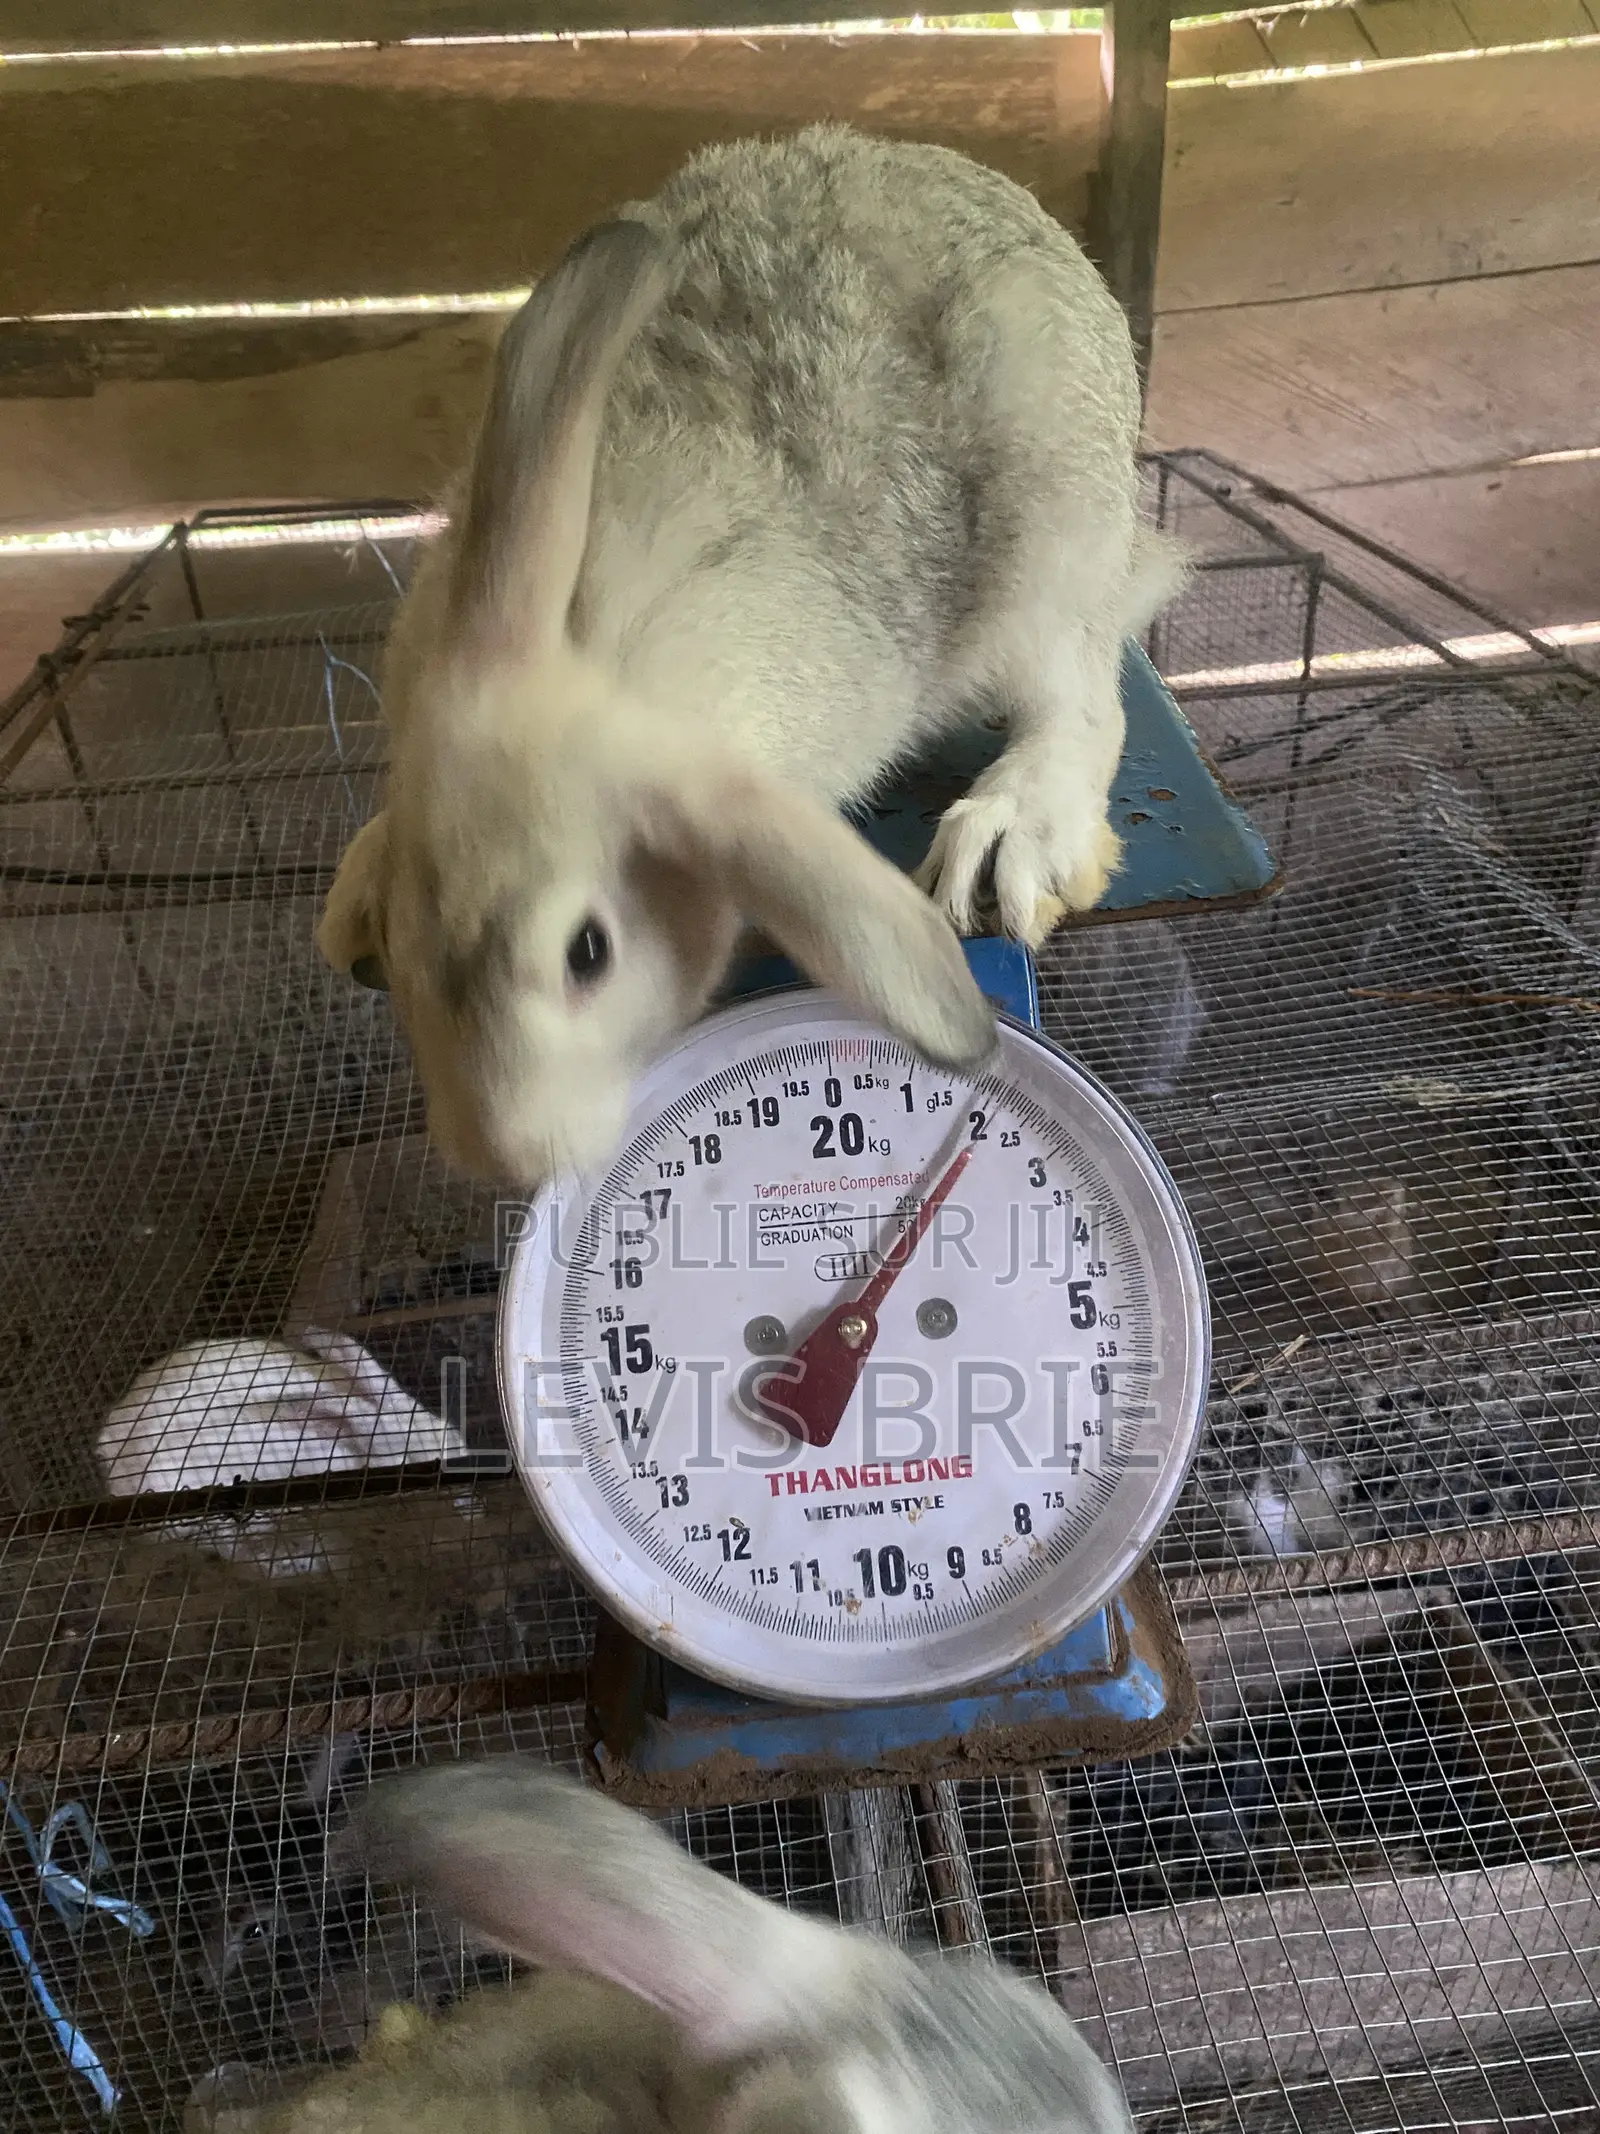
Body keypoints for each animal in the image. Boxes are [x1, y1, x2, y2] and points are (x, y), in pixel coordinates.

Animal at [315, 124, 1185, 1189]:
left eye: (588, 953)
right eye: (403, 935)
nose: (510, 1162)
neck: (597, 658)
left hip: (1055, 546)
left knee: (1084, 702)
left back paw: (1005, 843)